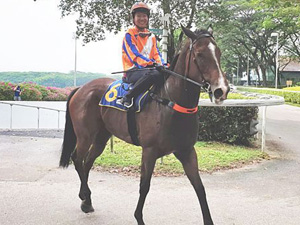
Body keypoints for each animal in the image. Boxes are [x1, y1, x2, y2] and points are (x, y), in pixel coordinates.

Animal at [59, 26, 229, 225]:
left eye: (219, 52)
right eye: (200, 54)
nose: (221, 90)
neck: (169, 103)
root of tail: (81, 88)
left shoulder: (187, 151)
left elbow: (199, 187)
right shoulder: (149, 151)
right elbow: (144, 185)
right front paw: (138, 217)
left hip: (101, 137)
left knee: (87, 162)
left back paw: (86, 200)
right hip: (85, 135)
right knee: (77, 159)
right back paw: (85, 197)